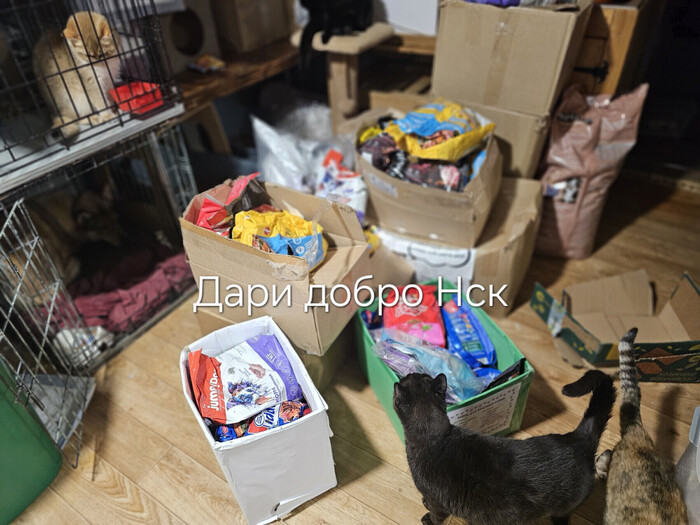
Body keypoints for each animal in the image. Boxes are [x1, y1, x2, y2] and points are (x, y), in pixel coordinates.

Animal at [393, 370, 616, 525]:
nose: (408, 373)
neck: (435, 438)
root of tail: (579, 439)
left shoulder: (437, 502)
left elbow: (436, 515)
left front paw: (427, 518)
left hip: (563, 509)